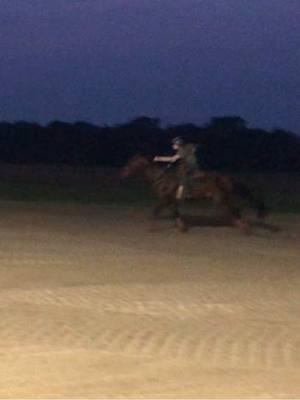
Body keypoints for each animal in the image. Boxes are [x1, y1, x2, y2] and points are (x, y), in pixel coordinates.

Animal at [122, 155, 268, 233]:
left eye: (132, 162)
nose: (123, 172)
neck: (162, 178)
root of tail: (226, 177)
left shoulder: (165, 199)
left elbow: (155, 211)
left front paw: (151, 228)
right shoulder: (171, 201)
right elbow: (175, 213)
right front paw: (182, 227)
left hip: (219, 198)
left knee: (235, 210)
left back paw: (245, 228)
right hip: (222, 198)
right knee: (234, 211)